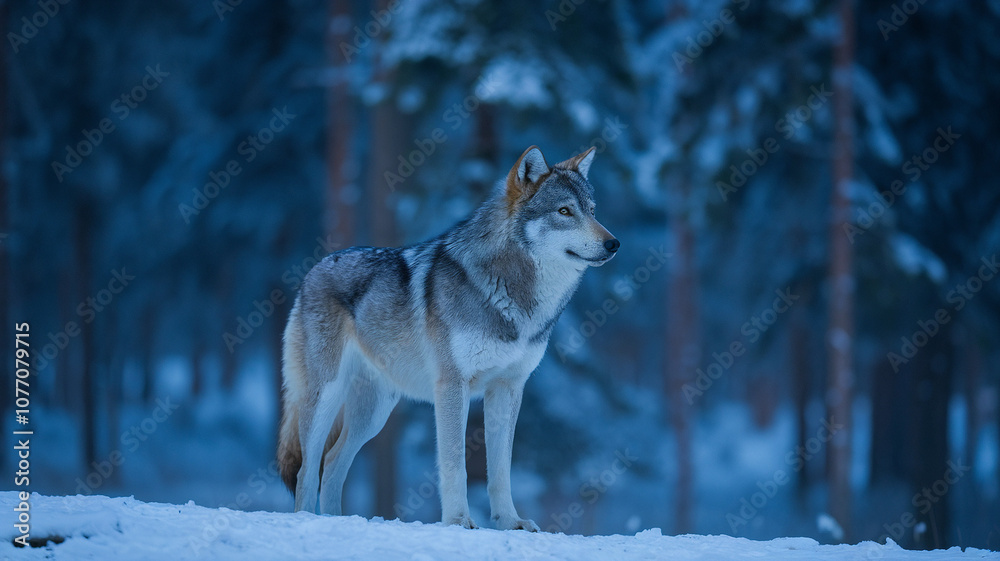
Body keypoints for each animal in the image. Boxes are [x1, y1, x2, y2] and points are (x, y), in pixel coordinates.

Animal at [277, 145, 619, 530]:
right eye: (564, 211)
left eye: (592, 211)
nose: (613, 243)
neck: (515, 296)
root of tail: (316, 268)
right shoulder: (452, 386)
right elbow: (455, 464)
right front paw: (458, 521)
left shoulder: (508, 388)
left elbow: (501, 470)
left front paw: (509, 521)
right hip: (327, 396)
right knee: (307, 470)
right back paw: (308, 520)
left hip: (374, 414)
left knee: (333, 463)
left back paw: (341, 522)